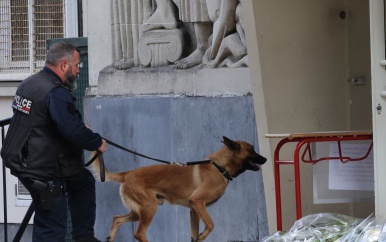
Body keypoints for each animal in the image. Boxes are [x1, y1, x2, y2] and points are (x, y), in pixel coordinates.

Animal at [91, 136, 266, 242]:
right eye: (252, 150)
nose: (265, 158)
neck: (219, 167)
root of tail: (126, 174)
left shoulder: (194, 210)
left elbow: (194, 235)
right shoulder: (198, 202)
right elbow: (210, 225)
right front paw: (203, 236)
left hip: (139, 211)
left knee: (117, 218)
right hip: (149, 208)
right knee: (139, 233)